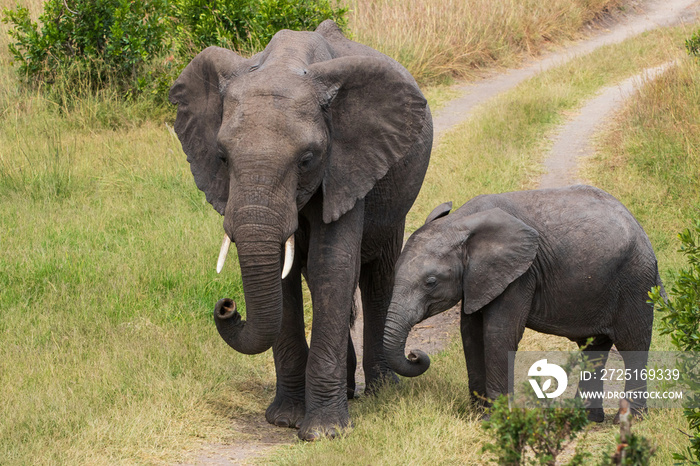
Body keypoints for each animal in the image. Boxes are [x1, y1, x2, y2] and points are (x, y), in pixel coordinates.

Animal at [170, 19, 432, 440]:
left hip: (396, 197)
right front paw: (285, 419)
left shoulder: (346, 165)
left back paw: (382, 392)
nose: (226, 306)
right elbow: (288, 281)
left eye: (307, 159)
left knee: (376, 277)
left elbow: (332, 268)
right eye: (222, 157)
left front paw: (325, 432)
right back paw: (349, 390)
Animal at [382, 186, 660, 422]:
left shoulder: (520, 274)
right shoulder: (478, 279)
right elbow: (470, 333)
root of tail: (641, 229)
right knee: (593, 348)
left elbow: (499, 334)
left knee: (632, 345)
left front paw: (494, 420)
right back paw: (585, 419)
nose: (414, 353)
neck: (460, 221)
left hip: (636, 281)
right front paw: (478, 416)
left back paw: (630, 420)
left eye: (430, 282)